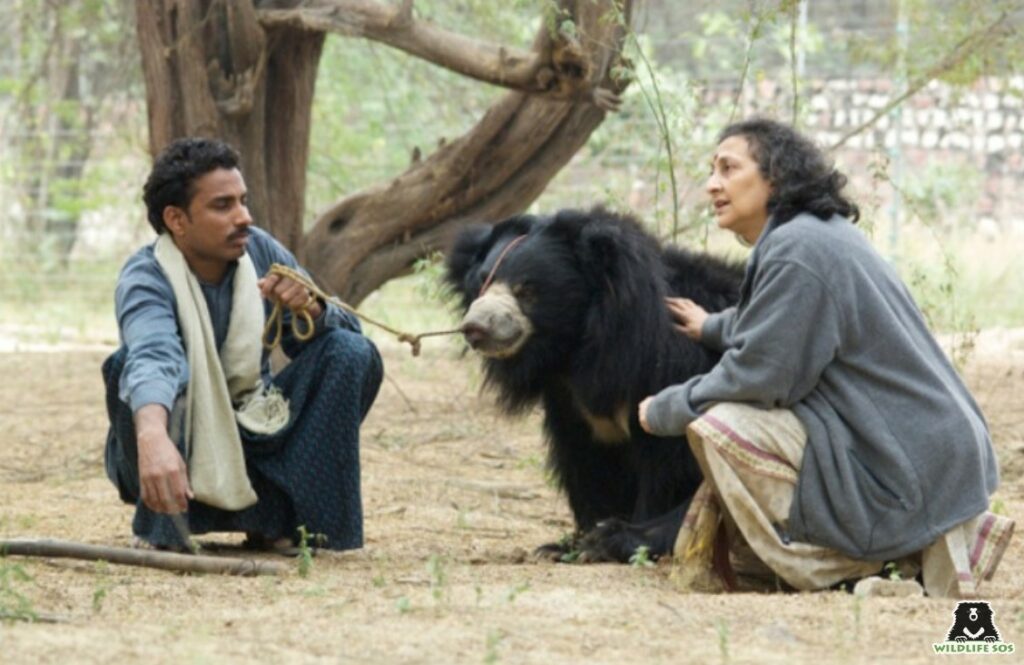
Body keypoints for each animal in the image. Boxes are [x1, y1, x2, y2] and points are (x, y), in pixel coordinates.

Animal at [445, 207, 744, 562]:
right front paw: (567, 544)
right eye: (482, 283)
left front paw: (611, 539)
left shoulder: (672, 372)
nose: (475, 327)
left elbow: (670, 466)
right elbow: (589, 464)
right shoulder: (570, 403)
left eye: (527, 290)